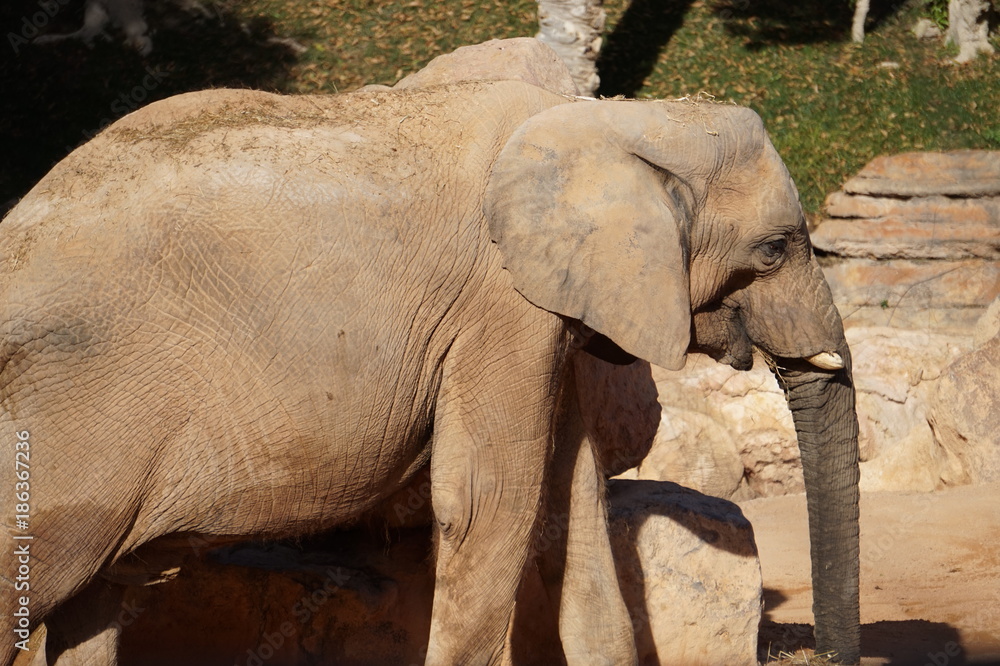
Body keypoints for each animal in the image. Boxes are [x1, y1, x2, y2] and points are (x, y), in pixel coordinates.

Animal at [0, 69, 860, 665]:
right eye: (775, 248)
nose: (820, 651)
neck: (609, 118)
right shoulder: (499, 305)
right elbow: (487, 504)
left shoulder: (543, 313)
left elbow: (571, 509)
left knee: (94, 601)